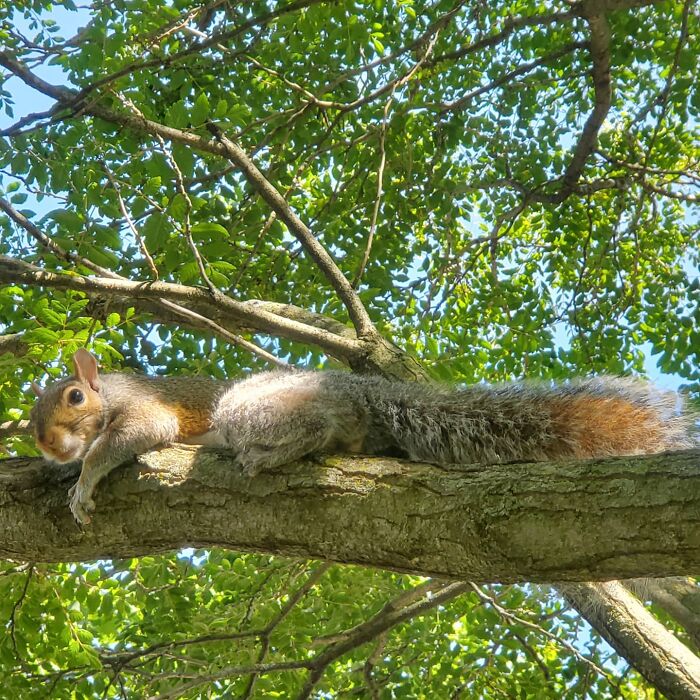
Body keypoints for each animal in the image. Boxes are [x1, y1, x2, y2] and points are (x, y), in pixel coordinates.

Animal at [30, 349, 694, 524]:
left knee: (309, 428)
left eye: (74, 397)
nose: (47, 445)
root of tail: (359, 392)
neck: (110, 391)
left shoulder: (141, 408)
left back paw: (266, 455)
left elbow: (133, 436)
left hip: (252, 407)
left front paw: (83, 482)